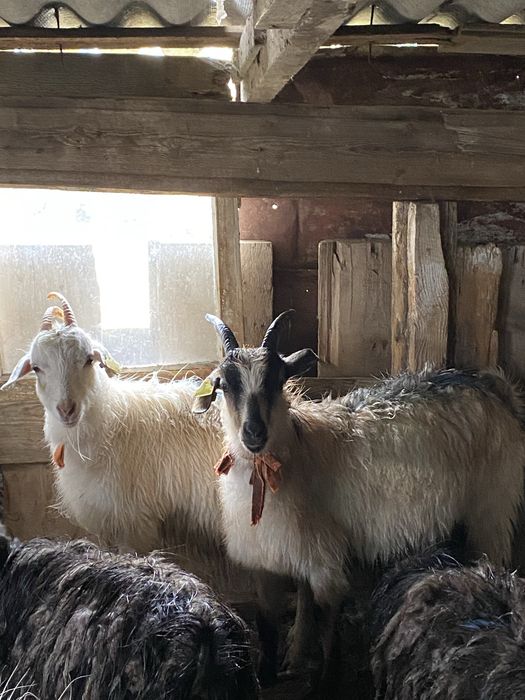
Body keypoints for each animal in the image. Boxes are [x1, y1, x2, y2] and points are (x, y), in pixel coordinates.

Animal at [195, 309, 525, 679]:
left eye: (277, 379)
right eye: (224, 384)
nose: (254, 433)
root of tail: (493, 386)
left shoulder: (325, 561)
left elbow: (326, 630)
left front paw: (321, 674)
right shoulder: (269, 560)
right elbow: (270, 625)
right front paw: (277, 666)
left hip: (493, 508)